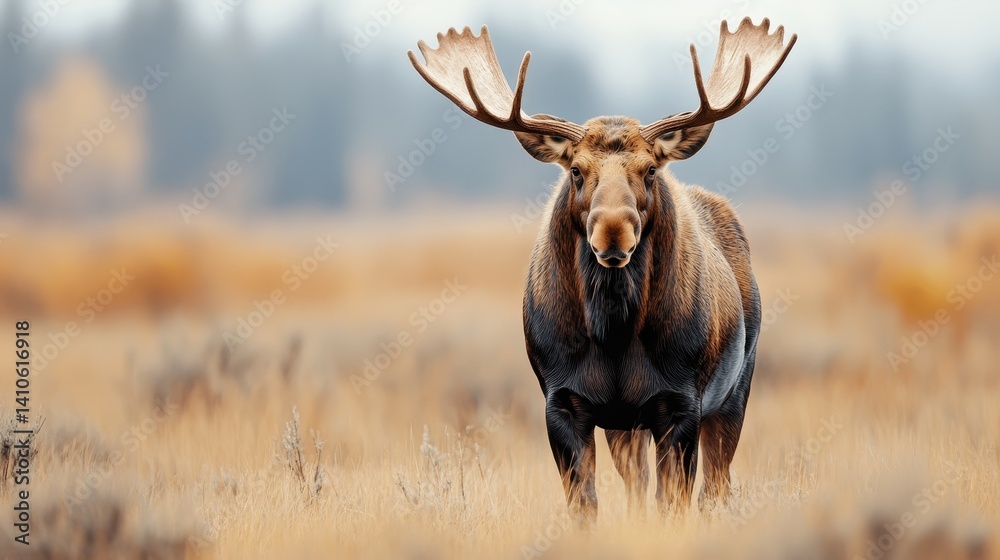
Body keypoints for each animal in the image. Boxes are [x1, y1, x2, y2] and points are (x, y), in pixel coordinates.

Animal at [409, 18, 796, 524]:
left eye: (650, 169)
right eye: (575, 169)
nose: (613, 231)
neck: (613, 335)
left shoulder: (682, 401)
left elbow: (673, 501)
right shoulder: (561, 400)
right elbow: (585, 503)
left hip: (736, 387)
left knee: (716, 487)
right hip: (626, 425)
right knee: (638, 484)